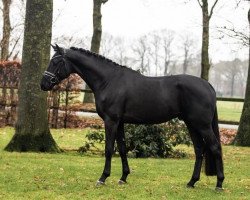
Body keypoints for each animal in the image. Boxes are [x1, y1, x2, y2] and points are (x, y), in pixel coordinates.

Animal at [41, 44, 225, 190]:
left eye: (56, 62)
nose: (43, 84)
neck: (109, 81)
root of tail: (208, 85)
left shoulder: (111, 121)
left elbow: (109, 149)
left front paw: (103, 178)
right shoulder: (120, 122)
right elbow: (122, 149)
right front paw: (123, 177)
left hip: (202, 125)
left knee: (215, 147)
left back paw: (219, 184)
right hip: (191, 124)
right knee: (199, 150)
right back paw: (191, 182)